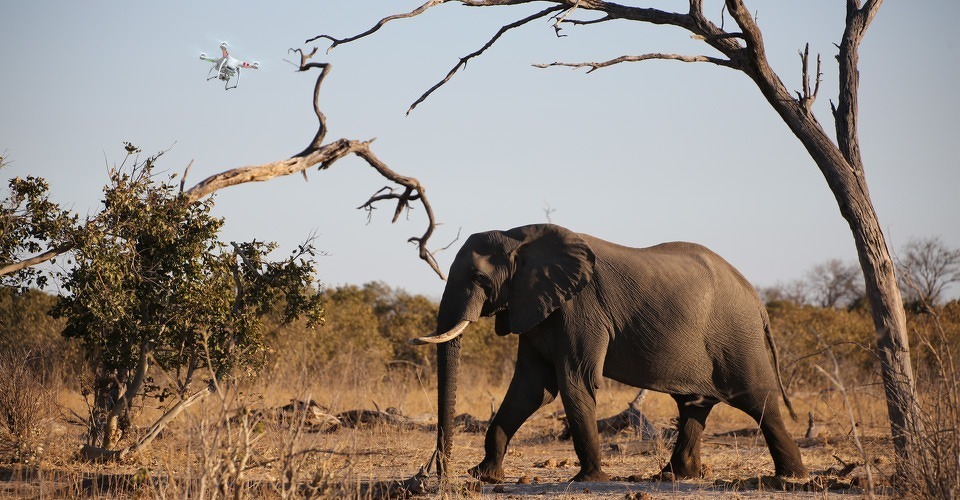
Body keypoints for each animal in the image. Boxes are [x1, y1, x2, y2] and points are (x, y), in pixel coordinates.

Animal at [408, 225, 808, 482]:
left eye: (478, 278)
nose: (438, 473)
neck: (519, 236)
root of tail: (757, 300)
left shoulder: (581, 307)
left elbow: (574, 381)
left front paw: (589, 479)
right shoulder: (538, 307)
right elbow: (531, 388)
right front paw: (485, 476)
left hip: (736, 335)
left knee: (757, 398)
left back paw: (791, 480)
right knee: (694, 404)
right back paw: (674, 476)